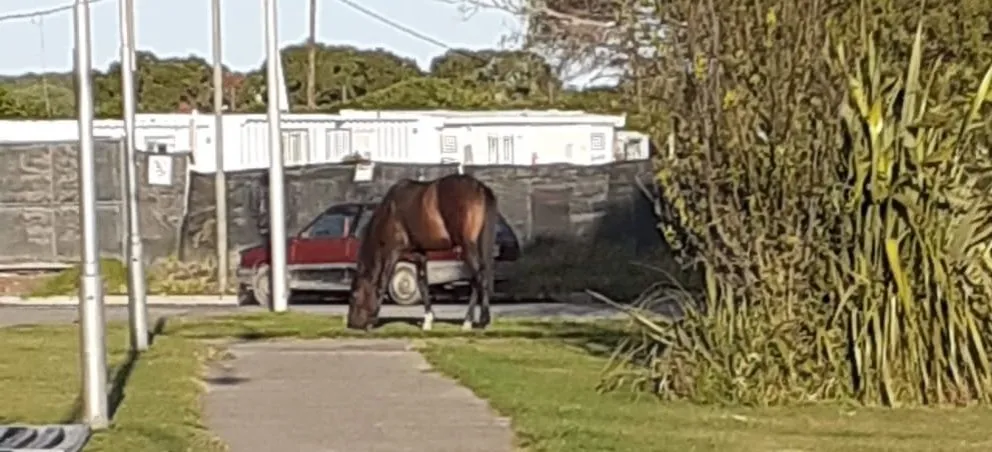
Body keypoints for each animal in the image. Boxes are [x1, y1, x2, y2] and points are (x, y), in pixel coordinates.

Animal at [345, 173, 500, 332]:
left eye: (354, 295)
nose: (352, 323)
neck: (391, 213)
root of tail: (480, 188)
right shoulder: (419, 255)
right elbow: (422, 284)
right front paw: (428, 320)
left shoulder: (393, 253)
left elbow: (383, 281)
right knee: (477, 280)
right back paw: (468, 321)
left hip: (467, 247)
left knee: (480, 277)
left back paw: (482, 320)